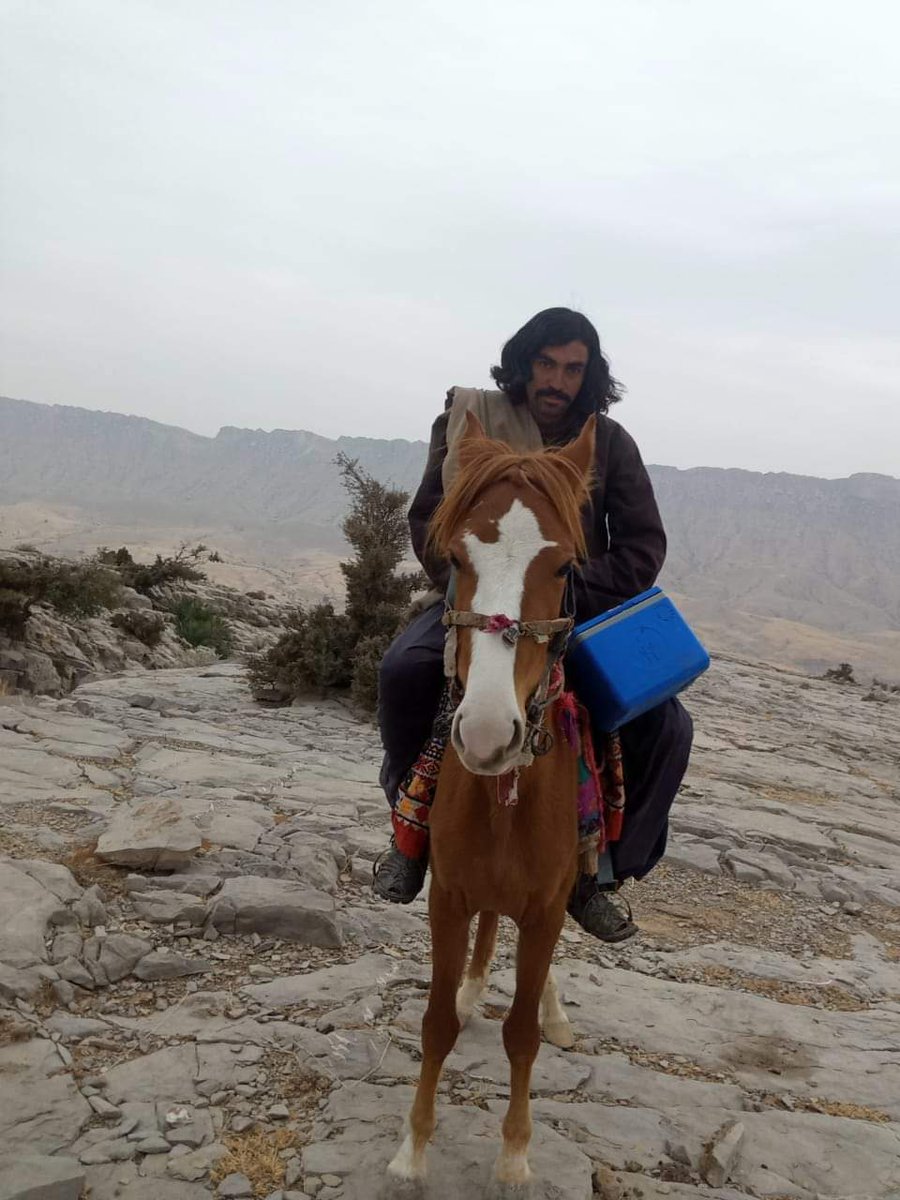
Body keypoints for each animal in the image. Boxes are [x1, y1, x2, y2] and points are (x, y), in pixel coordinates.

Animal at [388, 410, 595, 1190]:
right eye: (455, 556)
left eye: (563, 567)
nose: (483, 732)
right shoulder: (447, 896)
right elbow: (436, 1023)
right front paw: (413, 1149)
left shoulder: (544, 911)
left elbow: (522, 1034)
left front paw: (513, 1155)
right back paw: (475, 984)